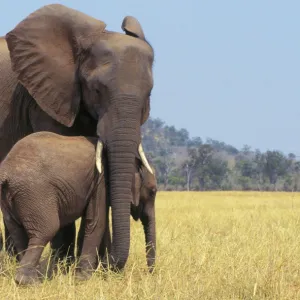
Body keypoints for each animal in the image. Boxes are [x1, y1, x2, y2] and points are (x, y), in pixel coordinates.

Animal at [0, 132, 158, 286]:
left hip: (10, 197)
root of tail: (6, 171)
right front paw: (83, 278)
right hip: (35, 193)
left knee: (17, 232)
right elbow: (96, 222)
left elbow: (97, 224)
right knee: (46, 230)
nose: (150, 273)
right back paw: (30, 282)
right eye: (152, 192)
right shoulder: (100, 181)